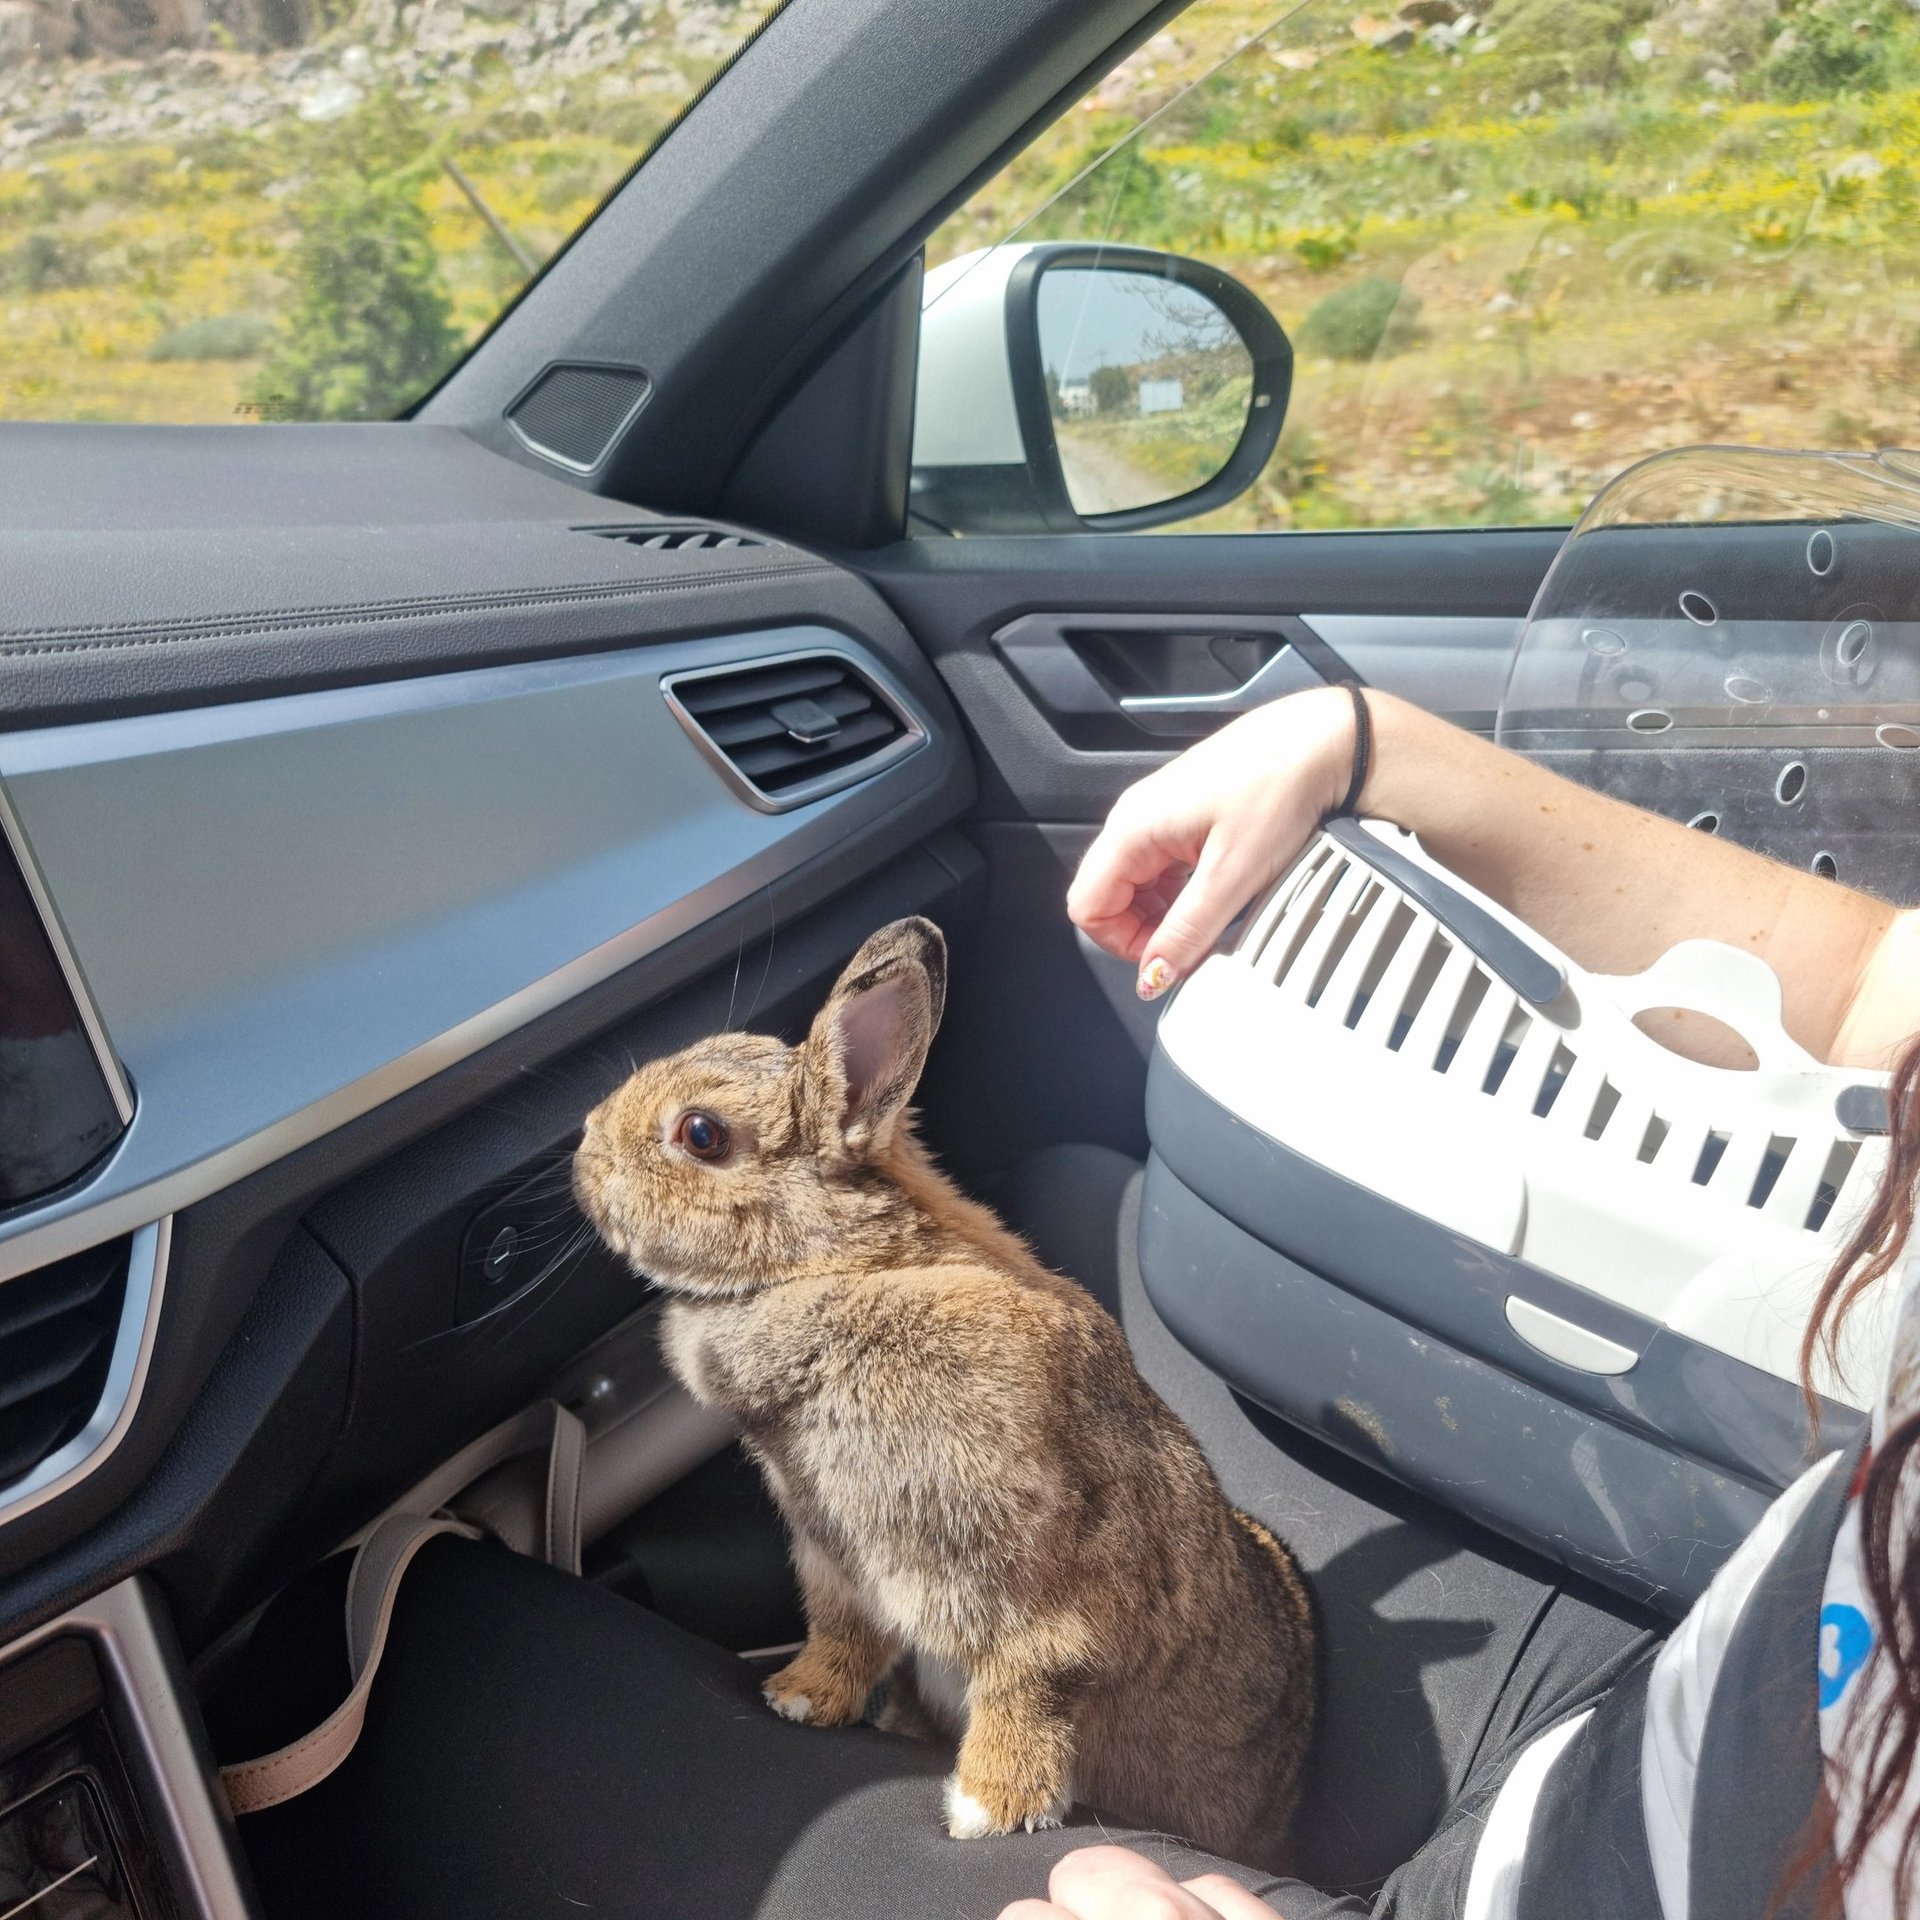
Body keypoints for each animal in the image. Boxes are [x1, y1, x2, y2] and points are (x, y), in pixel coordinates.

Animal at [573, 916, 1316, 1865]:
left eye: (700, 1134)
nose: (583, 1148)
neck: (835, 1267)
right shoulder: (836, 1561)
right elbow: (845, 1634)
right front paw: (800, 1698)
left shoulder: (1049, 1587)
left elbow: (1035, 1680)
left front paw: (987, 1808)